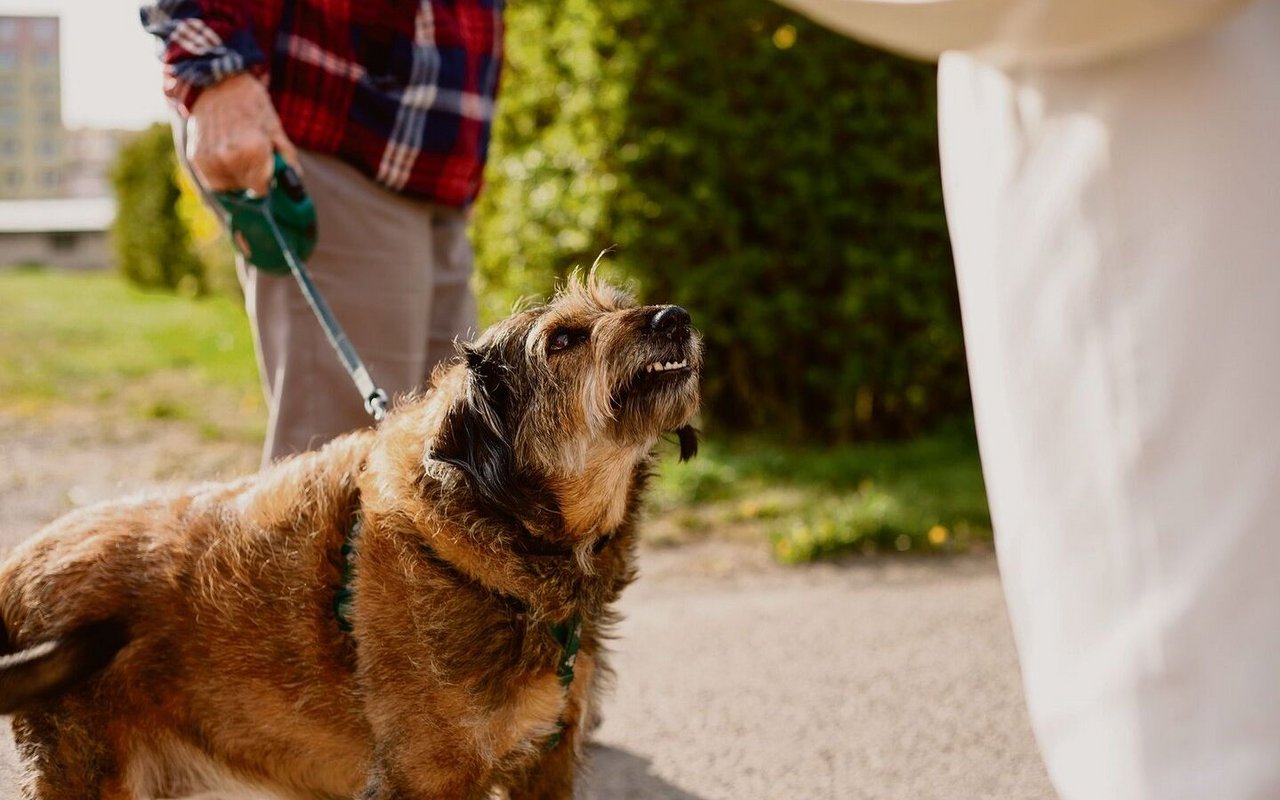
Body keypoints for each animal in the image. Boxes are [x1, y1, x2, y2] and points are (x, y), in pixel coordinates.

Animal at [0, 276, 701, 798]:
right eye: (562, 338)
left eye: (619, 303)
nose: (676, 316)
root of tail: (16, 570)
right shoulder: (430, 779)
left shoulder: (548, 766)